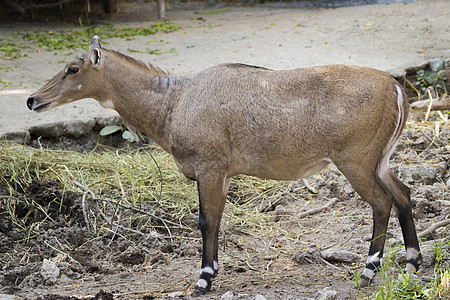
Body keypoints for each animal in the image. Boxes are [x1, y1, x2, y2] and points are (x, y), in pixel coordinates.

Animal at [27, 36, 422, 292]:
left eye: (72, 68)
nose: (32, 99)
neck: (173, 102)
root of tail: (396, 88)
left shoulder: (209, 166)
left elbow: (205, 220)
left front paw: (203, 278)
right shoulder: (224, 173)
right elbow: (217, 219)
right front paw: (212, 271)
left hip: (355, 160)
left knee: (382, 201)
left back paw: (369, 272)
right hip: (380, 160)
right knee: (404, 193)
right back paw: (413, 261)